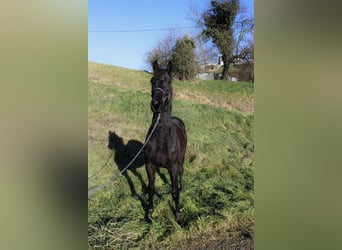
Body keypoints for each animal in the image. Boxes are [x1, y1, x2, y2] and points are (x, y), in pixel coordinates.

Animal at [144, 60, 187, 223]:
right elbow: (151, 189)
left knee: (181, 172)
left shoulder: (173, 167)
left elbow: (174, 192)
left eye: (168, 81)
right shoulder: (149, 165)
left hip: (182, 159)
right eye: (152, 80)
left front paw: (178, 216)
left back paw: (182, 187)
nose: (156, 104)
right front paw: (149, 213)